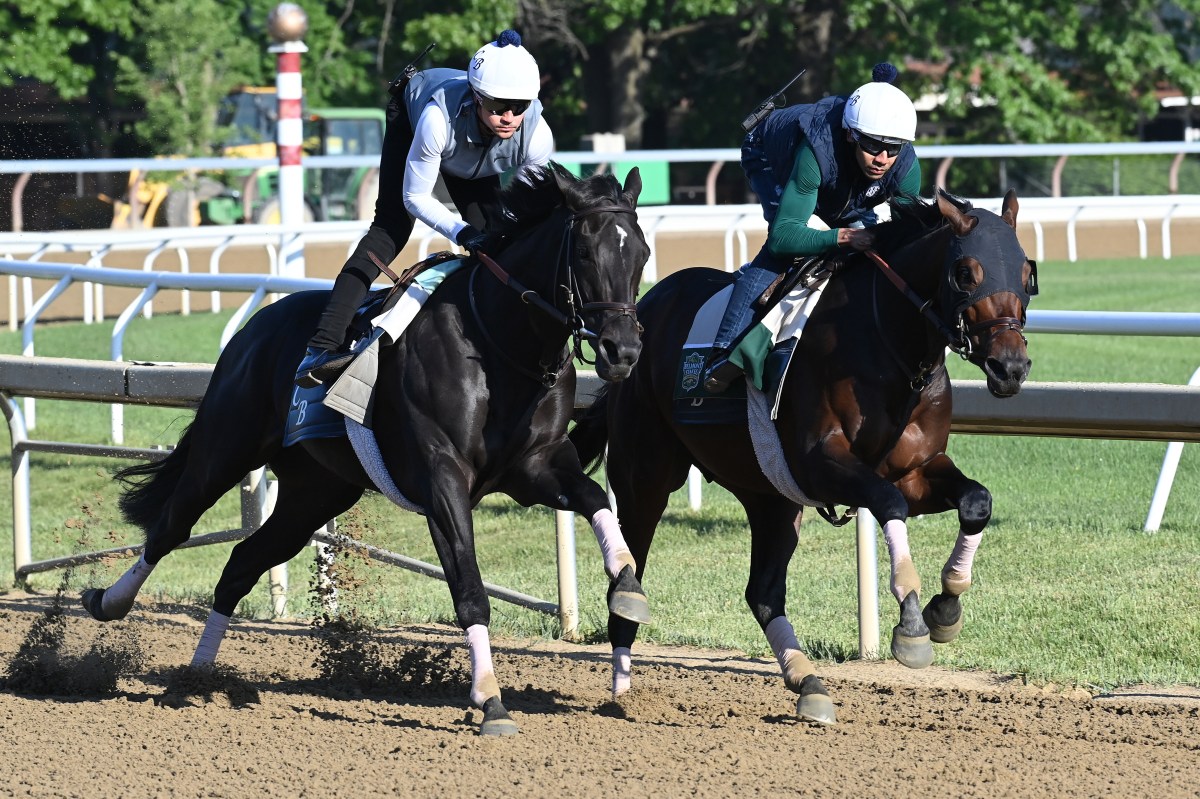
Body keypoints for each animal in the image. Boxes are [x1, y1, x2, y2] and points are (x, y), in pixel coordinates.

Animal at [85, 163, 657, 734]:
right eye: (584, 252)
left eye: (643, 253)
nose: (624, 351)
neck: (498, 345)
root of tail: (251, 331)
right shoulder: (441, 479)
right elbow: (470, 591)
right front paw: (490, 701)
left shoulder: (535, 467)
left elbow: (595, 499)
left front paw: (627, 586)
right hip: (225, 449)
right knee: (171, 527)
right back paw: (109, 602)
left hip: (316, 492)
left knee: (241, 564)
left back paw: (198, 675)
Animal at [566, 188, 1036, 719]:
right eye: (965, 272)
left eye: (1027, 274)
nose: (1009, 366)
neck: (889, 348)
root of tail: (641, 310)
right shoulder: (820, 463)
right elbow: (888, 504)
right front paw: (913, 622)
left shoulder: (913, 470)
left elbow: (976, 501)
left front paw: (946, 605)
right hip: (645, 474)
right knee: (628, 576)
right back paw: (622, 682)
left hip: (769, 493)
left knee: (763, 593)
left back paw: (808, 682)